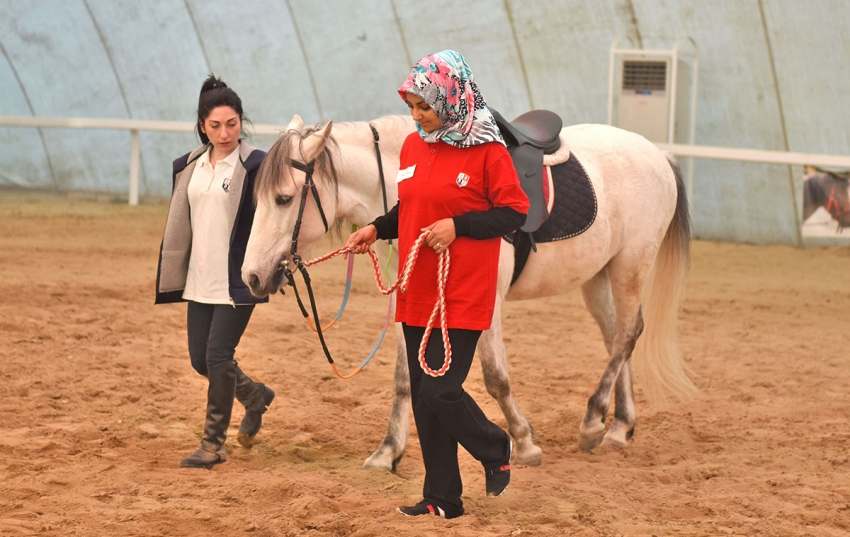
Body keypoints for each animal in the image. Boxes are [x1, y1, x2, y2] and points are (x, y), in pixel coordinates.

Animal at [238, 113, 696, 468]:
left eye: (283, 199)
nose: (251, 276)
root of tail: (657, 154)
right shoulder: (409, 302)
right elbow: (404, 379)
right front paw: (388, 451)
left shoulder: (487, 305)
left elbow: (495, 377)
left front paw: (523, 442)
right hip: (599, 276)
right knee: (617, 337)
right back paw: (618, 426)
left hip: (630, 266)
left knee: (628, 334)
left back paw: (594, 421)